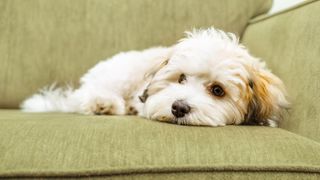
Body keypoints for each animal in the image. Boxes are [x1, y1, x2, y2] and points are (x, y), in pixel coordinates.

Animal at [20, 27, 290, 126]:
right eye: (181, 78)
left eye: (217, 90)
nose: (178, 108)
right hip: (120, 75)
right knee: (85, 97)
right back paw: (103, 104)